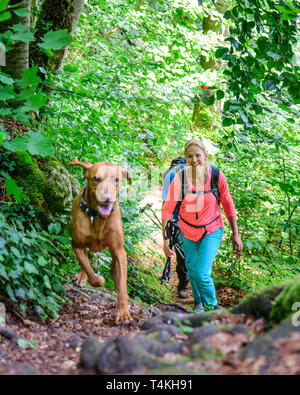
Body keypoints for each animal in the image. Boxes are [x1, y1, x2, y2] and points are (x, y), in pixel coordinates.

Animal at [70, 159, 132, 324]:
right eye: (96, 178)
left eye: (116, 180)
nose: (107, 197)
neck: (98, 218)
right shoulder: (77, 245)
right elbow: (91, 274)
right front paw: (96, 278)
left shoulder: (119, 251)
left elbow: (122, 284)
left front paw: (123, 313)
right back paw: (82, 276)